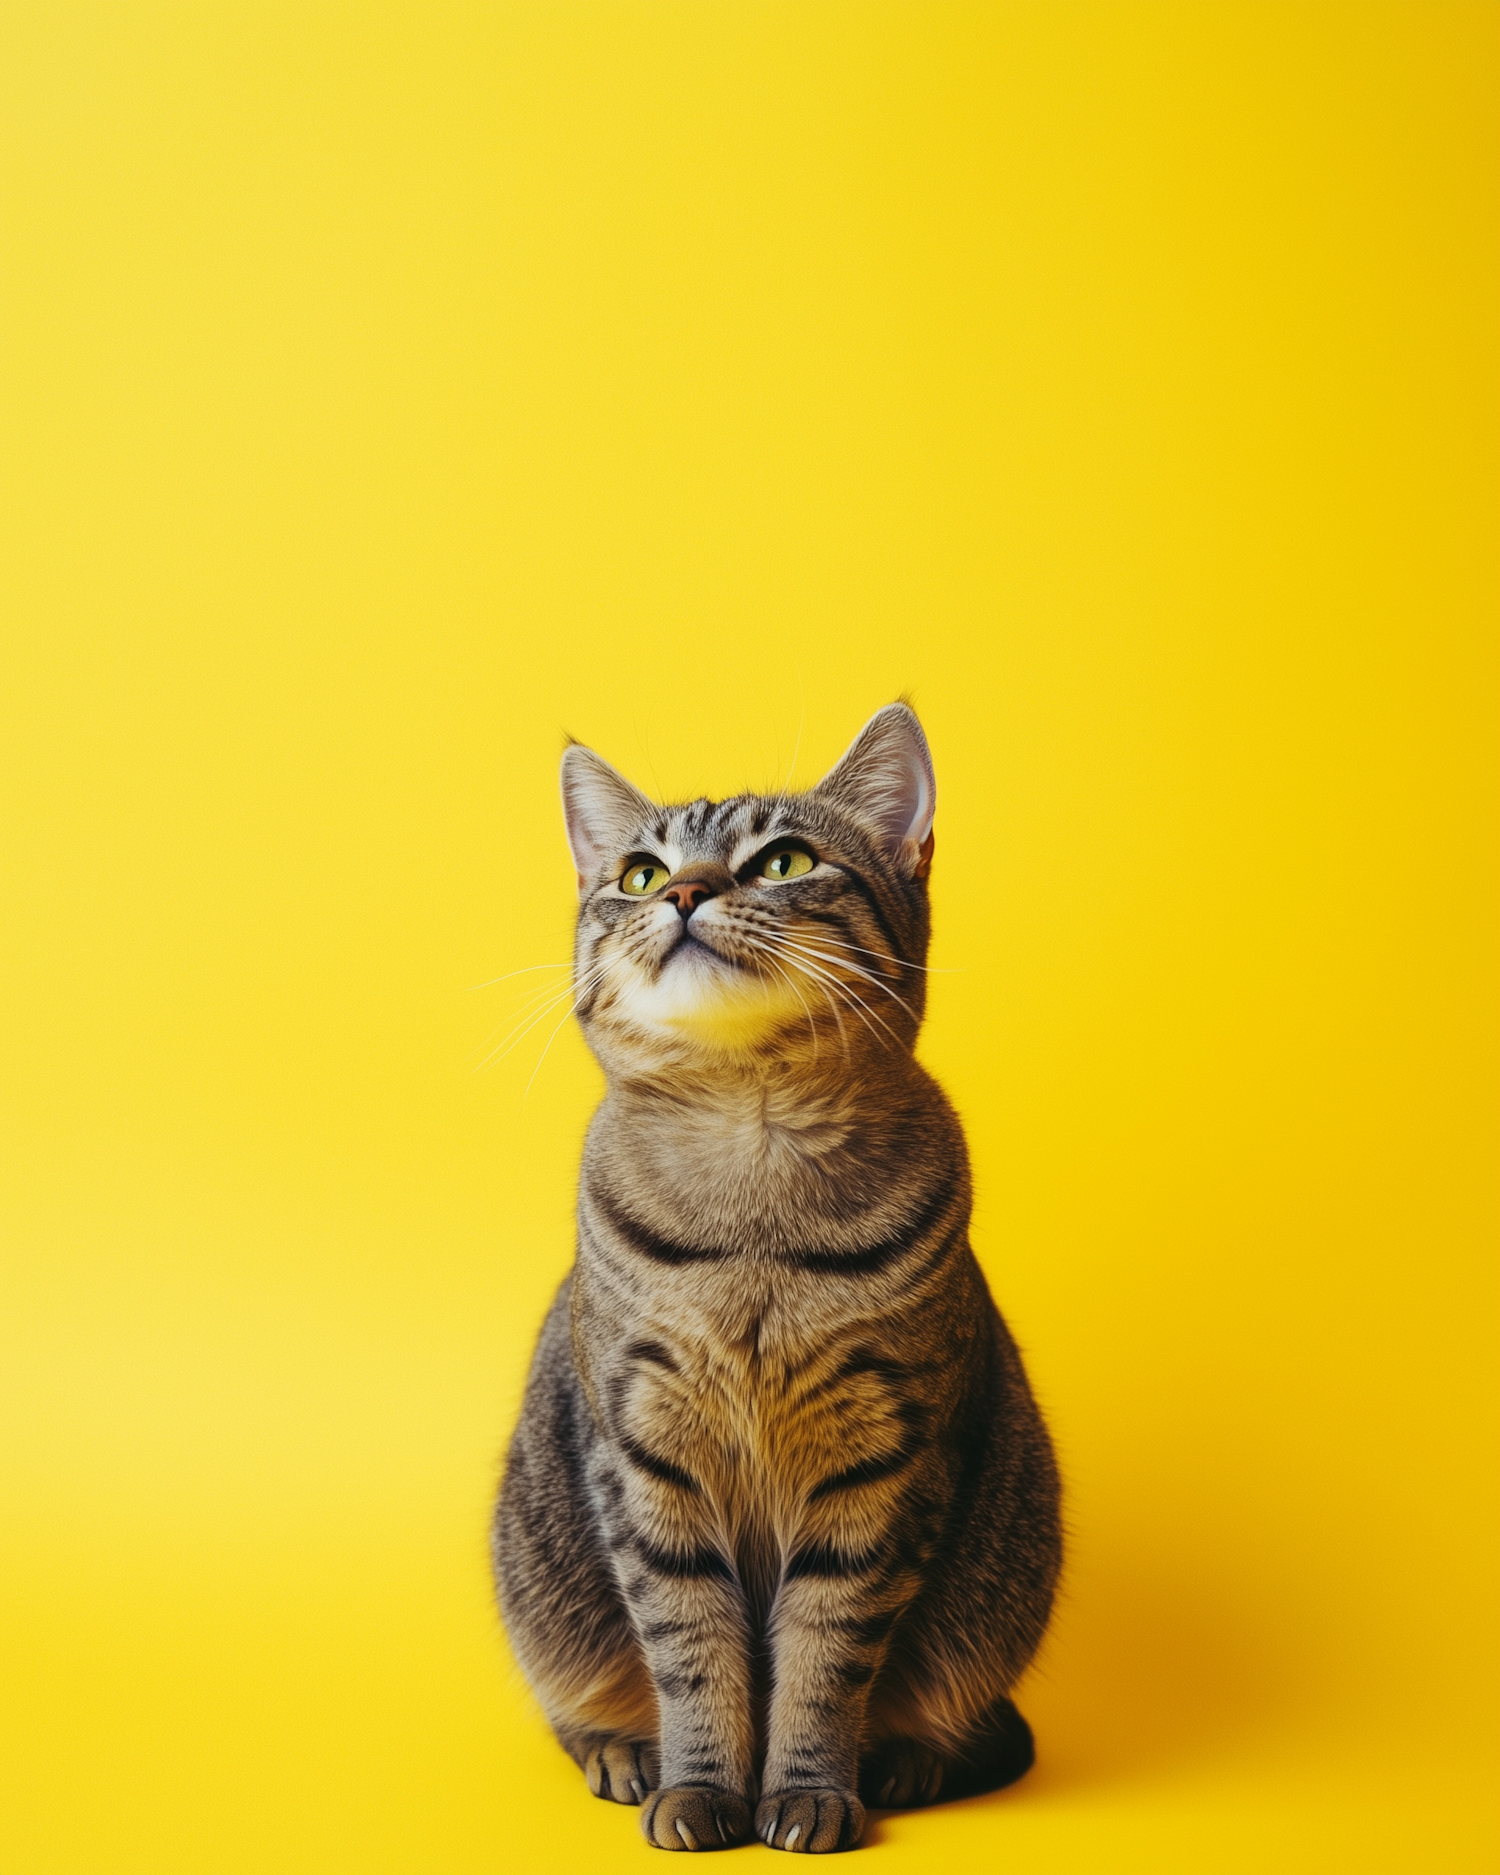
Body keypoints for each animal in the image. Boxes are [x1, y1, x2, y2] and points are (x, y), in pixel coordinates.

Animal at [491, 705, 1057, 1860]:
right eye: (639, 872)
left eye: (783, 861)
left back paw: (907, 1761)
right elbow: (692, 1647)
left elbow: (821, 1658)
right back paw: (623, 1751)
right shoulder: (645, 1451)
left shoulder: (882, 1456)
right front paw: (700, 1785)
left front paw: (807, 1790)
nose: (685, 892)